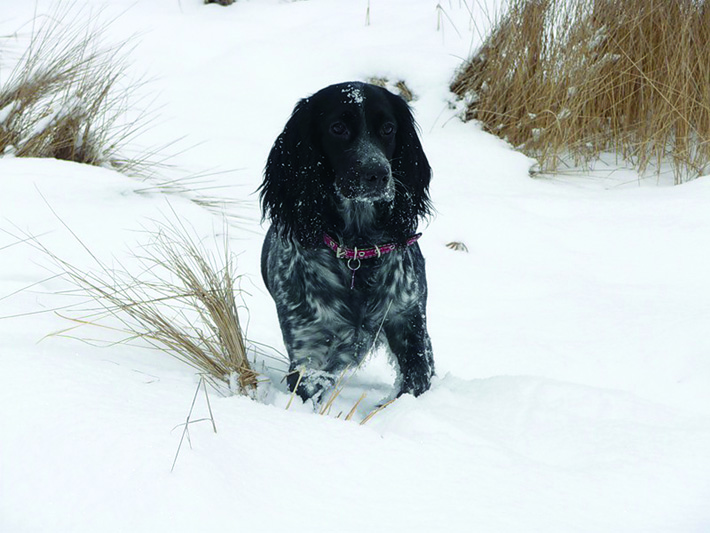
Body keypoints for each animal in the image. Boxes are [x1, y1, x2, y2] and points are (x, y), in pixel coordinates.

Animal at [260, 81, 434, 402]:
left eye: (388, 128)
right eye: (337, 128)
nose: (377, 173)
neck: (357, 249)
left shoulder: (409, 322)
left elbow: (415, 381)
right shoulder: (309, 350)